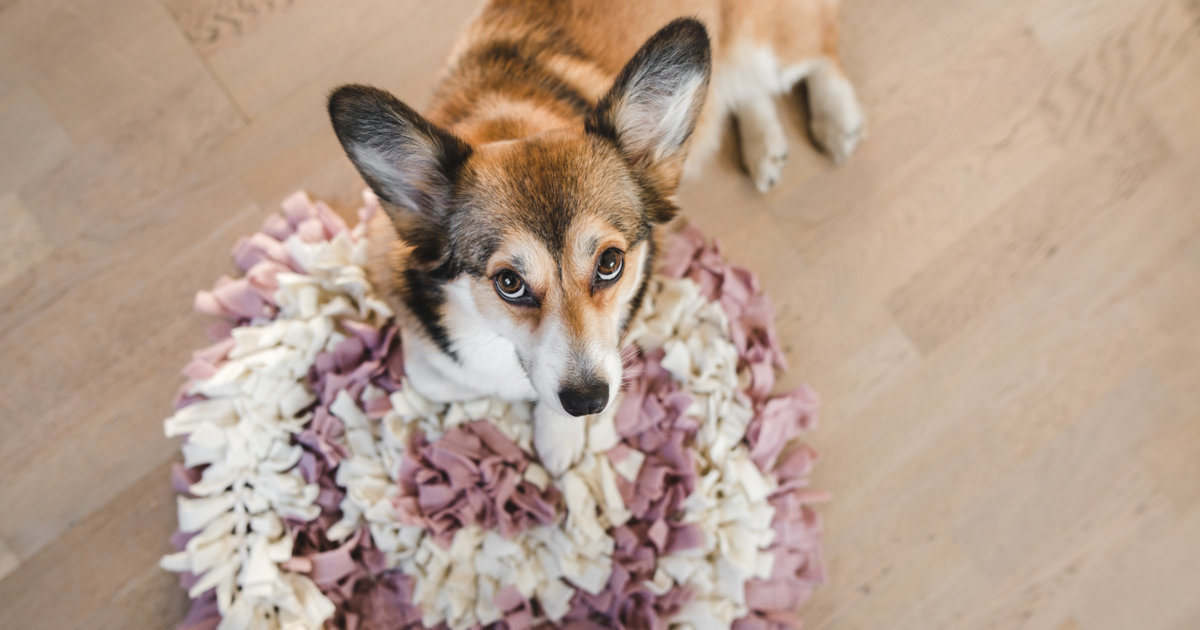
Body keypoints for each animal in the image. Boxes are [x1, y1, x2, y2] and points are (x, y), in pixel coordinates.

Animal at [324, 0, 859, 470]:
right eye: (509, 283)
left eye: (609, 263)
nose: (587, 402)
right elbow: (436, 378)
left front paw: (558, 437)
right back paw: (765, 143)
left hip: (768, 46)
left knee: (818, 51)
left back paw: (836, 120)